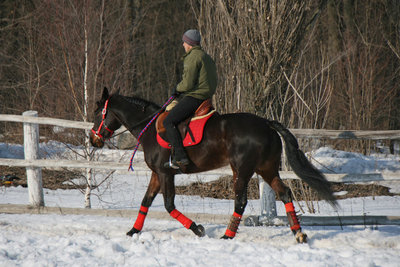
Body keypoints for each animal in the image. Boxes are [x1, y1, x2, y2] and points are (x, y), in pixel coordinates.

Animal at [90, 87, 338, 244]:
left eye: (97, 113)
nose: (94, 140)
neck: (150, 128)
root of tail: (266, 124)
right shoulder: (157, 174)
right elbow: (146, 202)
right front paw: (133, 231)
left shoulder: (165, 173)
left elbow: (169, 205)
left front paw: (198, 229)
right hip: (266, 169)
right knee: (285, 193)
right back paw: (299, 234)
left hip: (242, 170)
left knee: (241, 201)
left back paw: (228, 235)